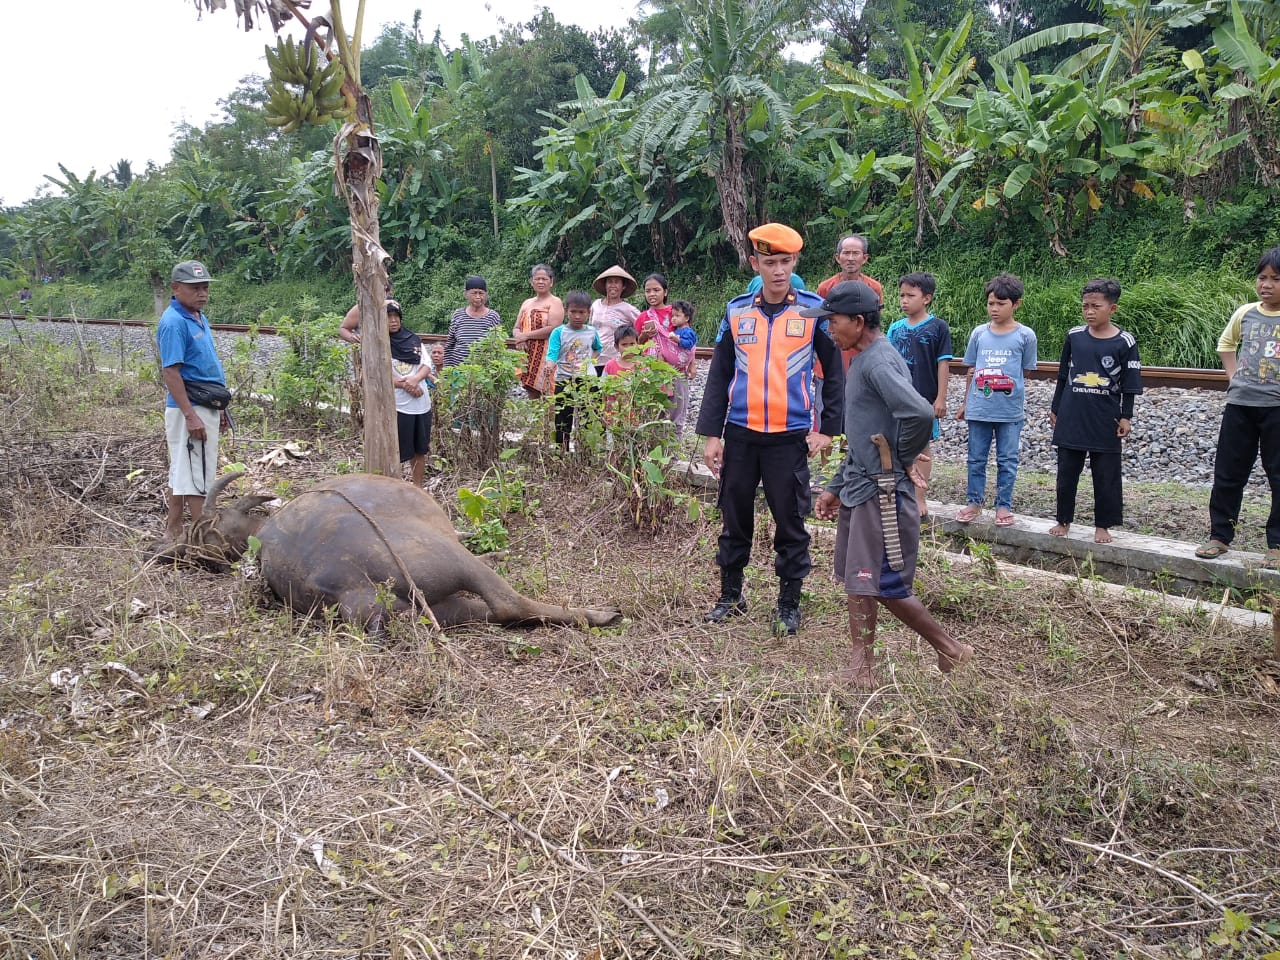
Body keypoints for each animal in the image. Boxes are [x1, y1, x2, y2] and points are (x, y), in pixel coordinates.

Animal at [176, 471, 624, 634]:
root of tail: (352, 585)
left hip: (432, 609)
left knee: (492, 612)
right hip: (447, 561)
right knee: (508, 602)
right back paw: (602, 614)